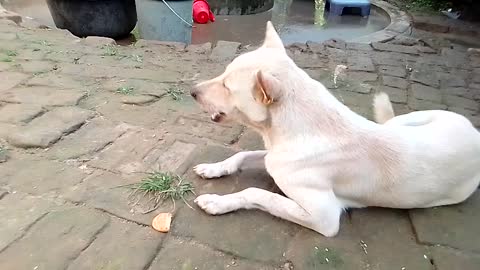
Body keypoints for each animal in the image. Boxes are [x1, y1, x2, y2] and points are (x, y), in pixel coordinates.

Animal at [189, 21, 478, 236]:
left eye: (226, 86)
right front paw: (214, 168)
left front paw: (217, 201)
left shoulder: (324, 217)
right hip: (408, 121)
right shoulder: (273, 157)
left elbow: (256, 193)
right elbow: (242, 155)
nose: (192, 92)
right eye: (223, 75)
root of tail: (474, 132)